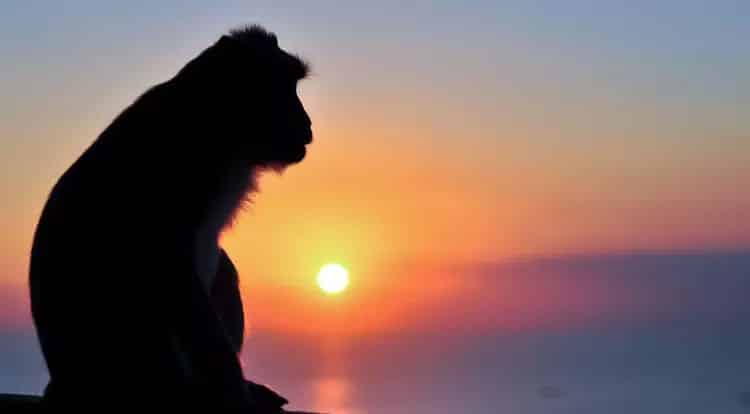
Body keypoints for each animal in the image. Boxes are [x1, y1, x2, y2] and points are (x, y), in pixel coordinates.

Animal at [28, 25, 312, 412]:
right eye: (286, 88)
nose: (307, 123)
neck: (220, 124)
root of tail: (66, 379)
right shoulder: (183, 165)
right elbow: (172, 266)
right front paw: (233, 391)